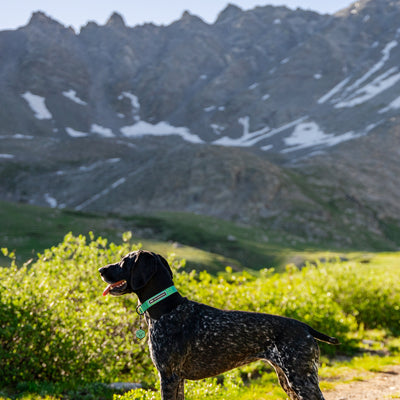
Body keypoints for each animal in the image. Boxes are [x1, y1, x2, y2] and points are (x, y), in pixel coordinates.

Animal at [98, 250, 340, 400]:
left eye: (124, 261)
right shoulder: (178, 379)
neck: (166, 309)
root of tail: (305, 328)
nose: (101, 269)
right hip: (288, 381)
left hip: (301, 378)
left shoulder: (168, 375)